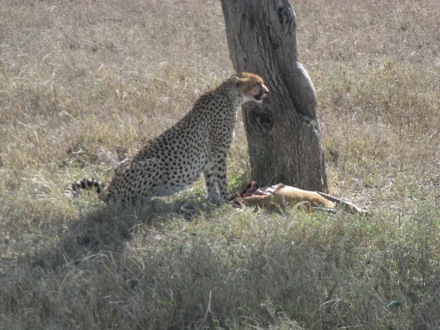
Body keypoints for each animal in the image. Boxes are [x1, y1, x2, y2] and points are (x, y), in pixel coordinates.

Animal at [69, 72, 268, 206]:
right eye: (258, 83)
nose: (267, 91)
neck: (231, 97)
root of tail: (110, 190)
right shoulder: (218, 151)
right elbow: (221, 178)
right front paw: (226, 199)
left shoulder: (210, 156)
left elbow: (210, 179)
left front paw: (213, 200)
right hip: (153, 164)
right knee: (131, 203)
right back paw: (153, 203)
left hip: (123, 163)